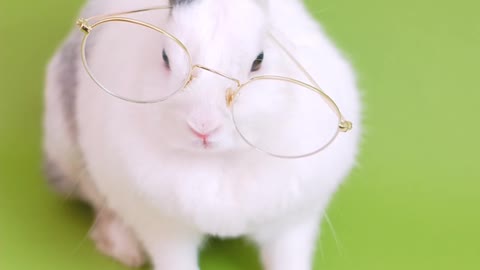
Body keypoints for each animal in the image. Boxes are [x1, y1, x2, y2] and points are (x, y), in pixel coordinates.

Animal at [44, 0, 360, 268]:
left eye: (258, 61)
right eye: (165, 57)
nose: (203, 127)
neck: (218, 161)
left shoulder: (292, 225)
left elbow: (288, 258)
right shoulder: (163, 229)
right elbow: (174, 260)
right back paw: (126, 250)